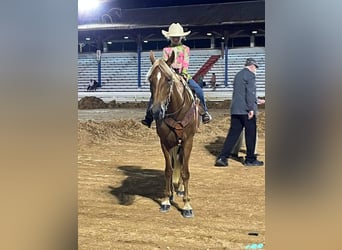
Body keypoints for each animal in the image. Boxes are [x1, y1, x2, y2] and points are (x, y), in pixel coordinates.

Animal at [146, 50, 199, 217]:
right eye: (150, 79)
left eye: (169, 79)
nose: (156, 111)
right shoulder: (164, 142)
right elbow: (168, 170)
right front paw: (165, 200)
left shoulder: (188, 141)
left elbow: (185, 171)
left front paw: (187, 205)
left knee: (181, 163)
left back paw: (180, 190)